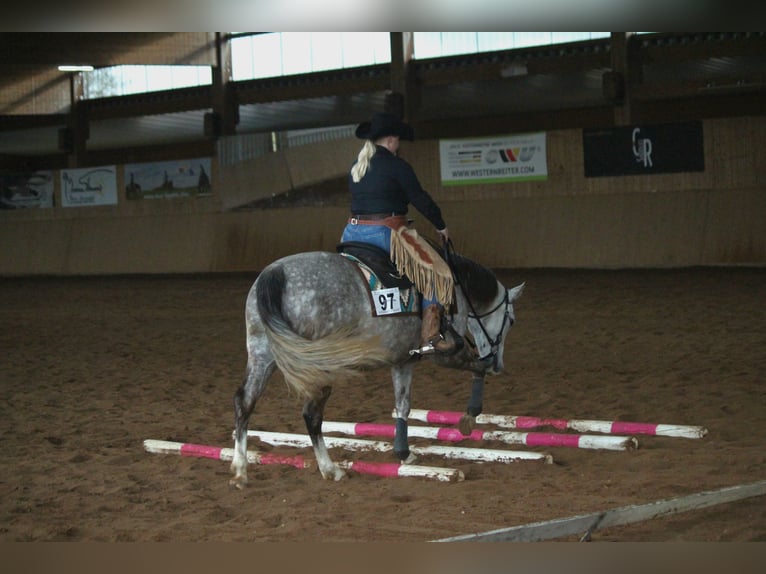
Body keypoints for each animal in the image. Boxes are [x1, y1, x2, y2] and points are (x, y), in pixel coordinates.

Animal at [231, 250, 524, 488]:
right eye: (510, 319)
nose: (499, 364)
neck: (458, 287)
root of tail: (275, 273)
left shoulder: (402, 361)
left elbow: (403, 406)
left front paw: (404, 452)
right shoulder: (446, 354)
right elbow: (478, 367)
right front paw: (469, 416)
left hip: (262, 355)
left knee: (245, 402)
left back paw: (240, 469)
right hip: (316, 365)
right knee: (311, 414)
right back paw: (330, 469)